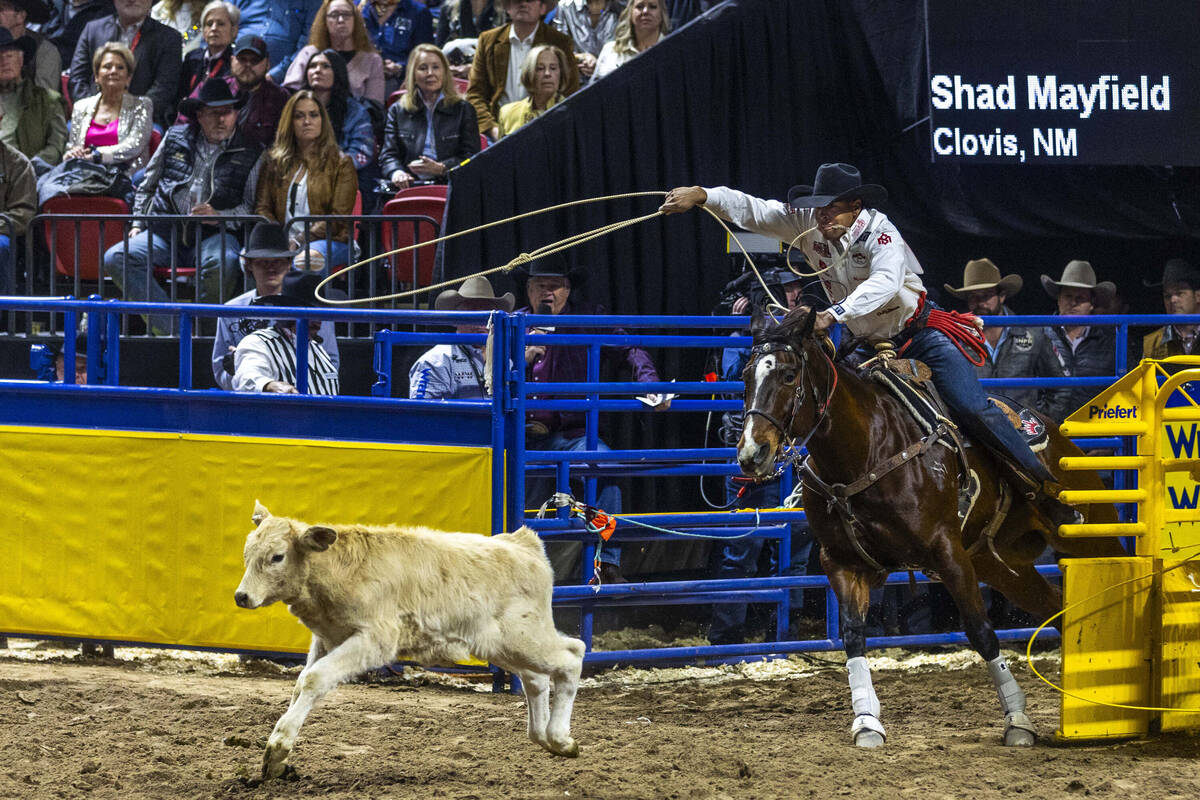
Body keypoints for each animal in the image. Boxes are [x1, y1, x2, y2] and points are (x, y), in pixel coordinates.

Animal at [232, 503, 585, 777]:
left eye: (277, 557)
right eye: (248, 554)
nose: (241, 596)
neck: (338, 570)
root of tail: (522, 544)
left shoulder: (374, 640)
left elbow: (313, 679)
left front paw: (278, 747)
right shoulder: (327, 639)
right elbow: (301, 684)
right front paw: (277, 762)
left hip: (523, 637)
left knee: (572, 655)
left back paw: (559, 737)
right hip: (505, 646)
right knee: (536, 679)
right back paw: (545, 737)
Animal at [739, 309, 1123, 753]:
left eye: (787, 375)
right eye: (746, 375)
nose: (751, 453)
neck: (868, 446)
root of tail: (1055, 433)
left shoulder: (947, 551)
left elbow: (982, 633)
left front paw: (1017, 720)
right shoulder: (841, 562)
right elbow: (853, 636)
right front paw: (867, 721)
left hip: (1090, 535)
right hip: (998, 564)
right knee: (1056, 608)